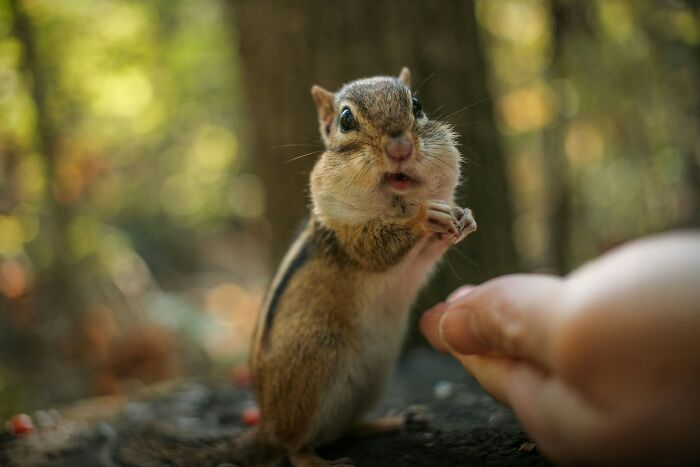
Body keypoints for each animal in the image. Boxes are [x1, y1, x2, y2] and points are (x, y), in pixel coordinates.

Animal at [100, 68, 476, 467]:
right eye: (346, 120)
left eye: (416, 105)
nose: (400, 148)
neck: (398, 202)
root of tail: (266, 426)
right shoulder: (346, 235)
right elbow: (377, 248)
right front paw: (424, 218)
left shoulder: (414, 255)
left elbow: (427, 254)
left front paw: (463, 218)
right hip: (318, 359)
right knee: (293, 446)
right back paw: (321, 460)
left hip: (370, 381)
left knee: (342, 428)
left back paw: (392, 422)